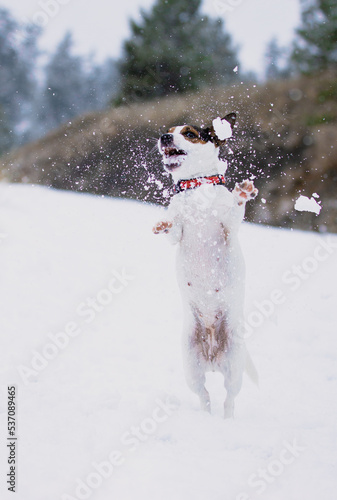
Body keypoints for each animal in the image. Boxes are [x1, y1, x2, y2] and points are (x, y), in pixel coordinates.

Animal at [152, 114, 258, 418]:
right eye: (169, 131)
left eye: (189, 133)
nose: (164, 136)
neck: (196, 188)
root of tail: (212, 356)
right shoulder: (178, 235)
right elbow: (173, 229)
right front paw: (164, 223)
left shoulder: (229, 228)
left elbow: (234, 213)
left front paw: (242, 194)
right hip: (192, 367)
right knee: (204, 395)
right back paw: (207, 417)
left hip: (234, 366)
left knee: (229, 399)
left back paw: (227, 420)